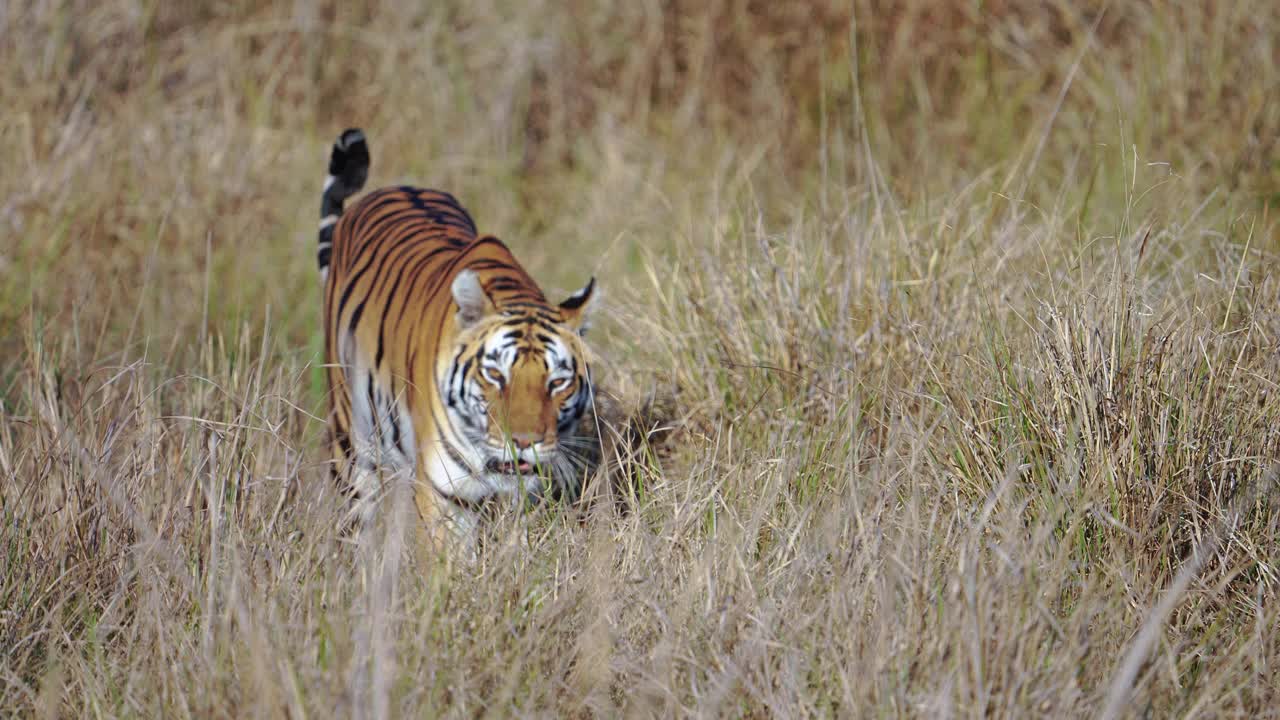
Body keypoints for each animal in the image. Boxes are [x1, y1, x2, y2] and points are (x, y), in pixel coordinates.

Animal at [320, 126, 599, 545]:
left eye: (557, 382)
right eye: (495, 375)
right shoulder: (442, 494)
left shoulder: (522, 494)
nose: (524, 444)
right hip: (351, 436)